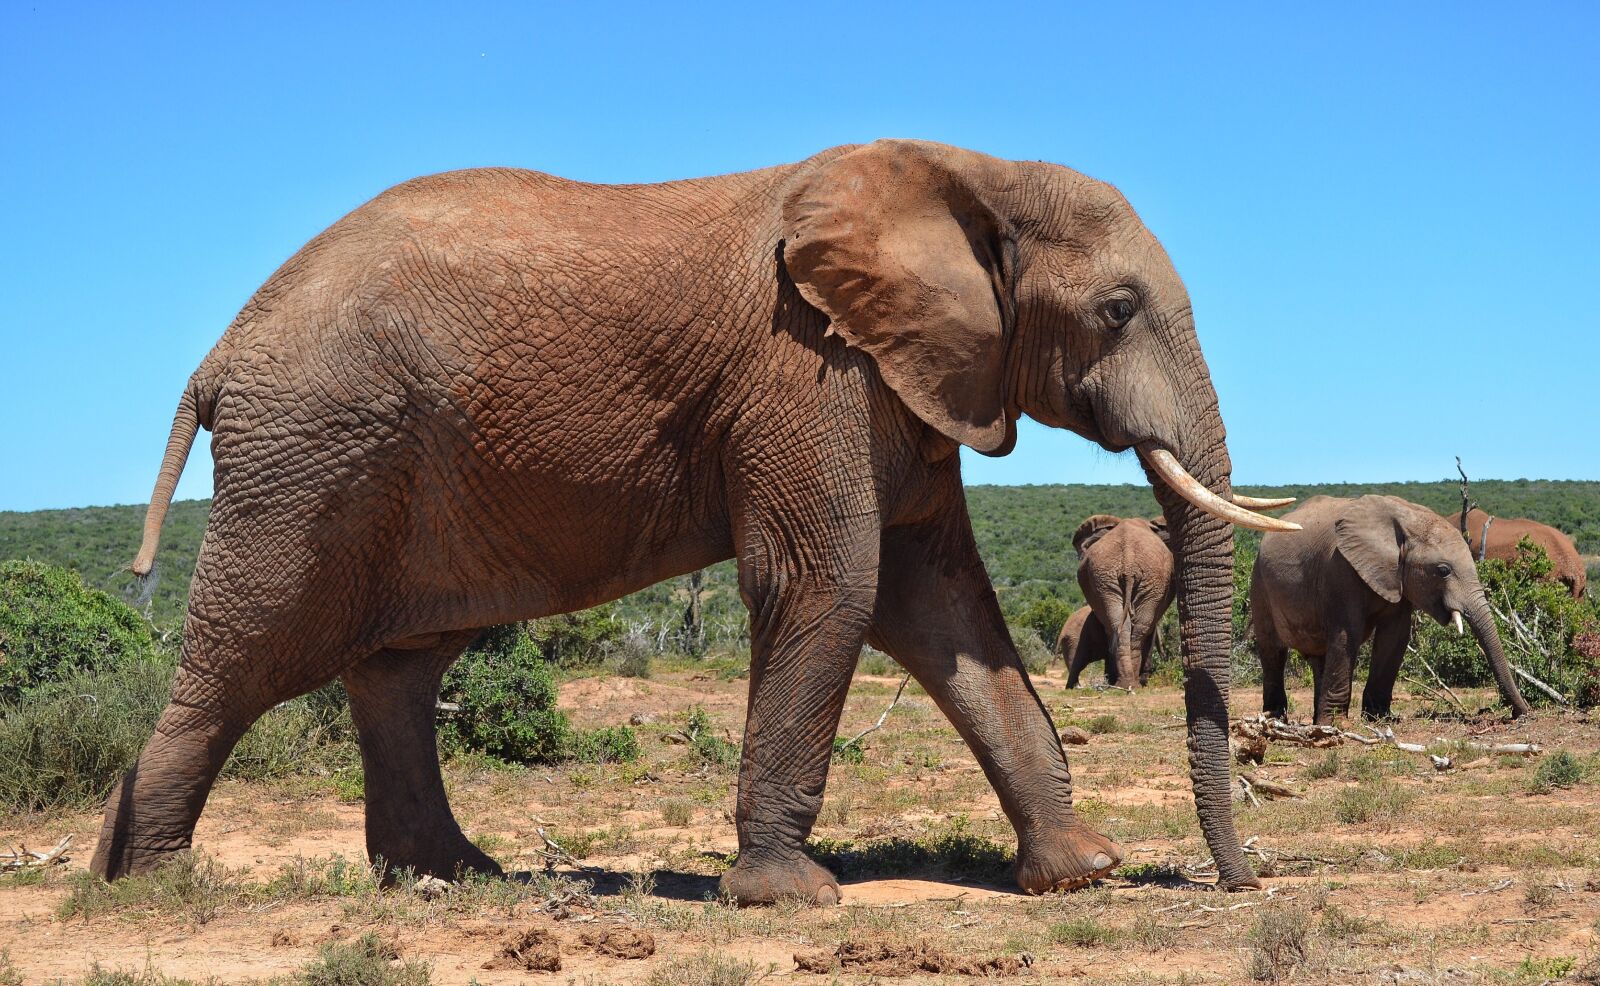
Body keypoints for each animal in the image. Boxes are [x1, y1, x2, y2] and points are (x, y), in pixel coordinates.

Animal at [1059, 515, 1174, 688]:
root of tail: (1128, 562)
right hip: (1116, 577)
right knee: (1134, 627)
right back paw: (1130, 684)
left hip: (1125, 578)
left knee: (1122, 625)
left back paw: (1125, 684)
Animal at [1251, 495, 1531, 724]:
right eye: (1443, 570)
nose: (1520, 714)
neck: (1406, 519)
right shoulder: (1340, 569)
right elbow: (1346, 635)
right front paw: (1336, 725)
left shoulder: (1399, 577)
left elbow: (1394, 637)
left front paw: (1379, 718)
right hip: (1259, 581)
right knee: (1272, 650)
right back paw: (1276, 719)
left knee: (1318, 657)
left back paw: (1315, 718)